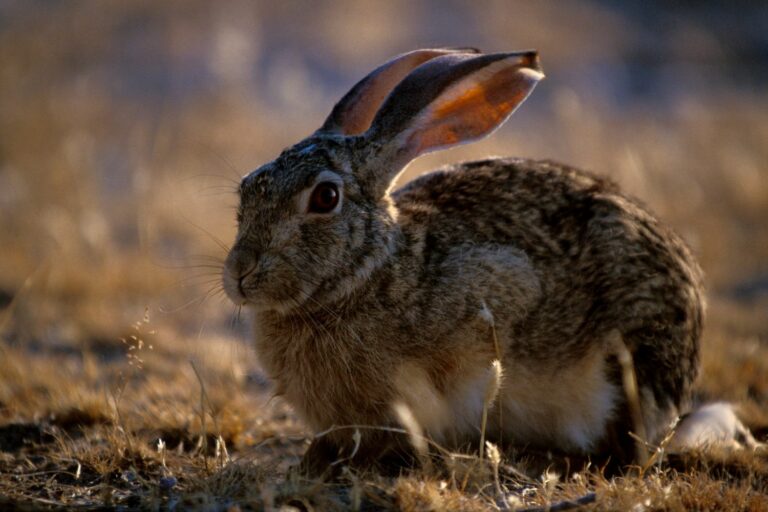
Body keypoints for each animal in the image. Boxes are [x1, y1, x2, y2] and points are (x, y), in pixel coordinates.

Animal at [222, 48, 704, 474]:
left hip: (631, 357)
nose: (239, 273)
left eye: (325, 197)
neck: (371, 272)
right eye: (246, 188)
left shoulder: (502, 288)